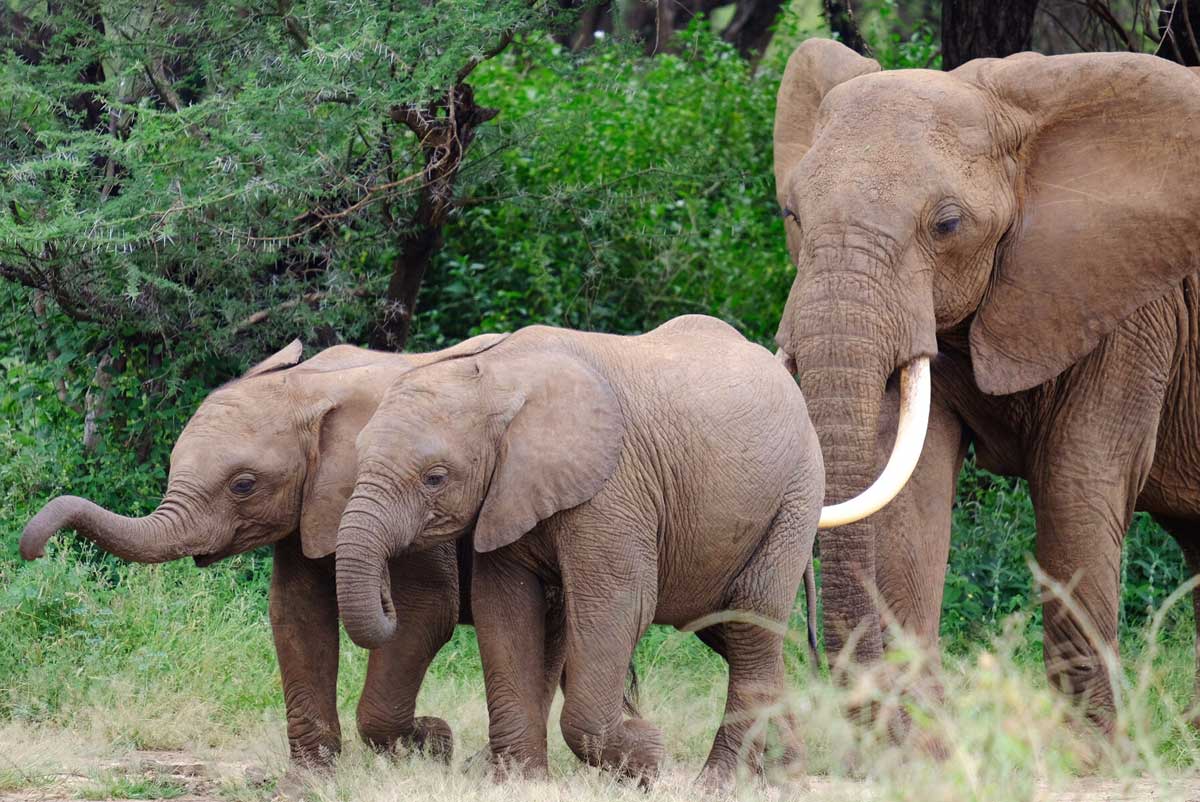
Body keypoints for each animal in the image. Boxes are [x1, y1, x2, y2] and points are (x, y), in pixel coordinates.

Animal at [18, 334, 536, 771]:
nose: (35, 552)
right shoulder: (312, 503)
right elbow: (296, 610)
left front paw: (430, 744)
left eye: (243, 485)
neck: (312, 387)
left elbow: (427, 607)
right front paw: (313, 774)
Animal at [333, 314, 827, 787]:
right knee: (735, 633)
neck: (498, 376)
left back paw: (718, 785)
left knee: (749, 625)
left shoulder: (614, 489)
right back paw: (783, 776)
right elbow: (503, 608)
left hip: (795, 497)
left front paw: (647, 758)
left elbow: (617, 604)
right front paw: (522, 783)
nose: (387, 595)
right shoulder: (507, 493)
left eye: (435, 478)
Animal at [771, 38, 1200, 733]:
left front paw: (1087, 752)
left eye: (947, 225)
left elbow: (1076, 482)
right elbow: (910, 487)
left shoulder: (1134, 305)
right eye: (793, 214)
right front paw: (920, 744)